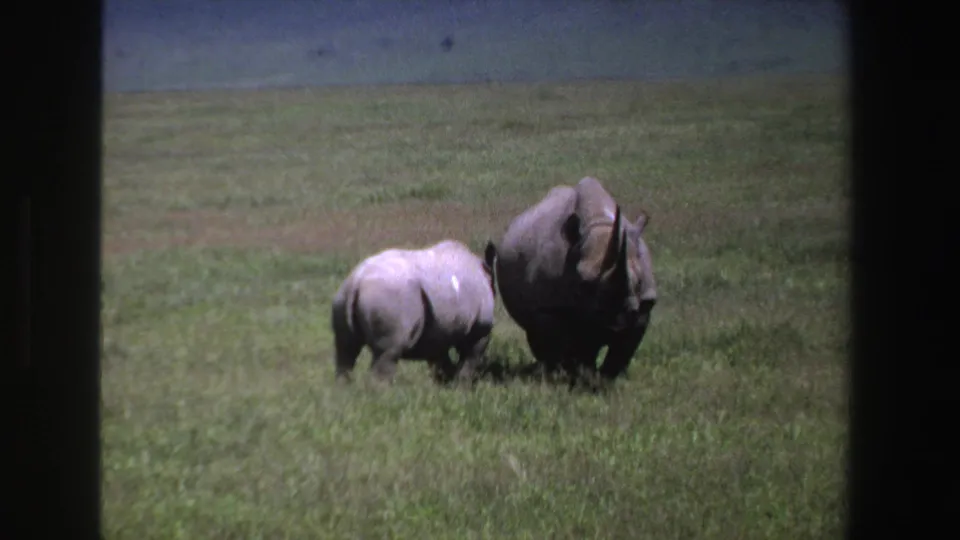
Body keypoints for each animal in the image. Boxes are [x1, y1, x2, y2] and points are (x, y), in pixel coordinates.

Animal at [331, 239, 497, 385]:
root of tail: (357, 281)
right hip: (388, 297)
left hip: (342, 298)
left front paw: (444, 387)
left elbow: (441, 362)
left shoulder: (439, 331)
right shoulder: (480, 329)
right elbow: (469, 360)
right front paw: (461, 389)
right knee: (387, 353)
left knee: (346, 350)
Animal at [486, 176, 657, 385]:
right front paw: (569, 377)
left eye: (639, 282)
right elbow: (563, 342)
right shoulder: (549, 307)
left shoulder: (644, 306)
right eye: (584, 284)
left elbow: (621, 351)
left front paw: (606, 381)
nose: (618, 320)